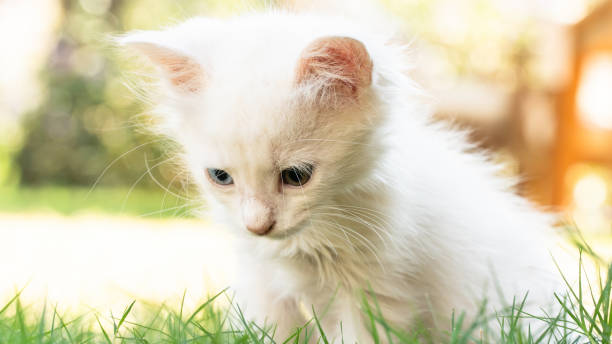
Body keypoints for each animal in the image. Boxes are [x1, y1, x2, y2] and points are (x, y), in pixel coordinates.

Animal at [118, 8, 560, 344]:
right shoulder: (265, 283)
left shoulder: (375, 292)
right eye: (220, 177)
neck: (311, 241)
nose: (258, 226)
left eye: (296, 176)